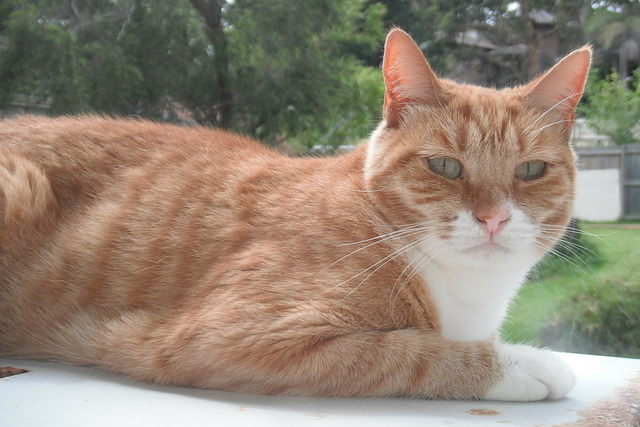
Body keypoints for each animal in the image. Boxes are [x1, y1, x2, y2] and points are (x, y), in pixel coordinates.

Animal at [0, 30, 592, 402]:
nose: (493, 219)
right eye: (445, 165)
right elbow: (408, 351)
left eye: (530, 170)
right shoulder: (231, 337)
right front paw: (525, 364)